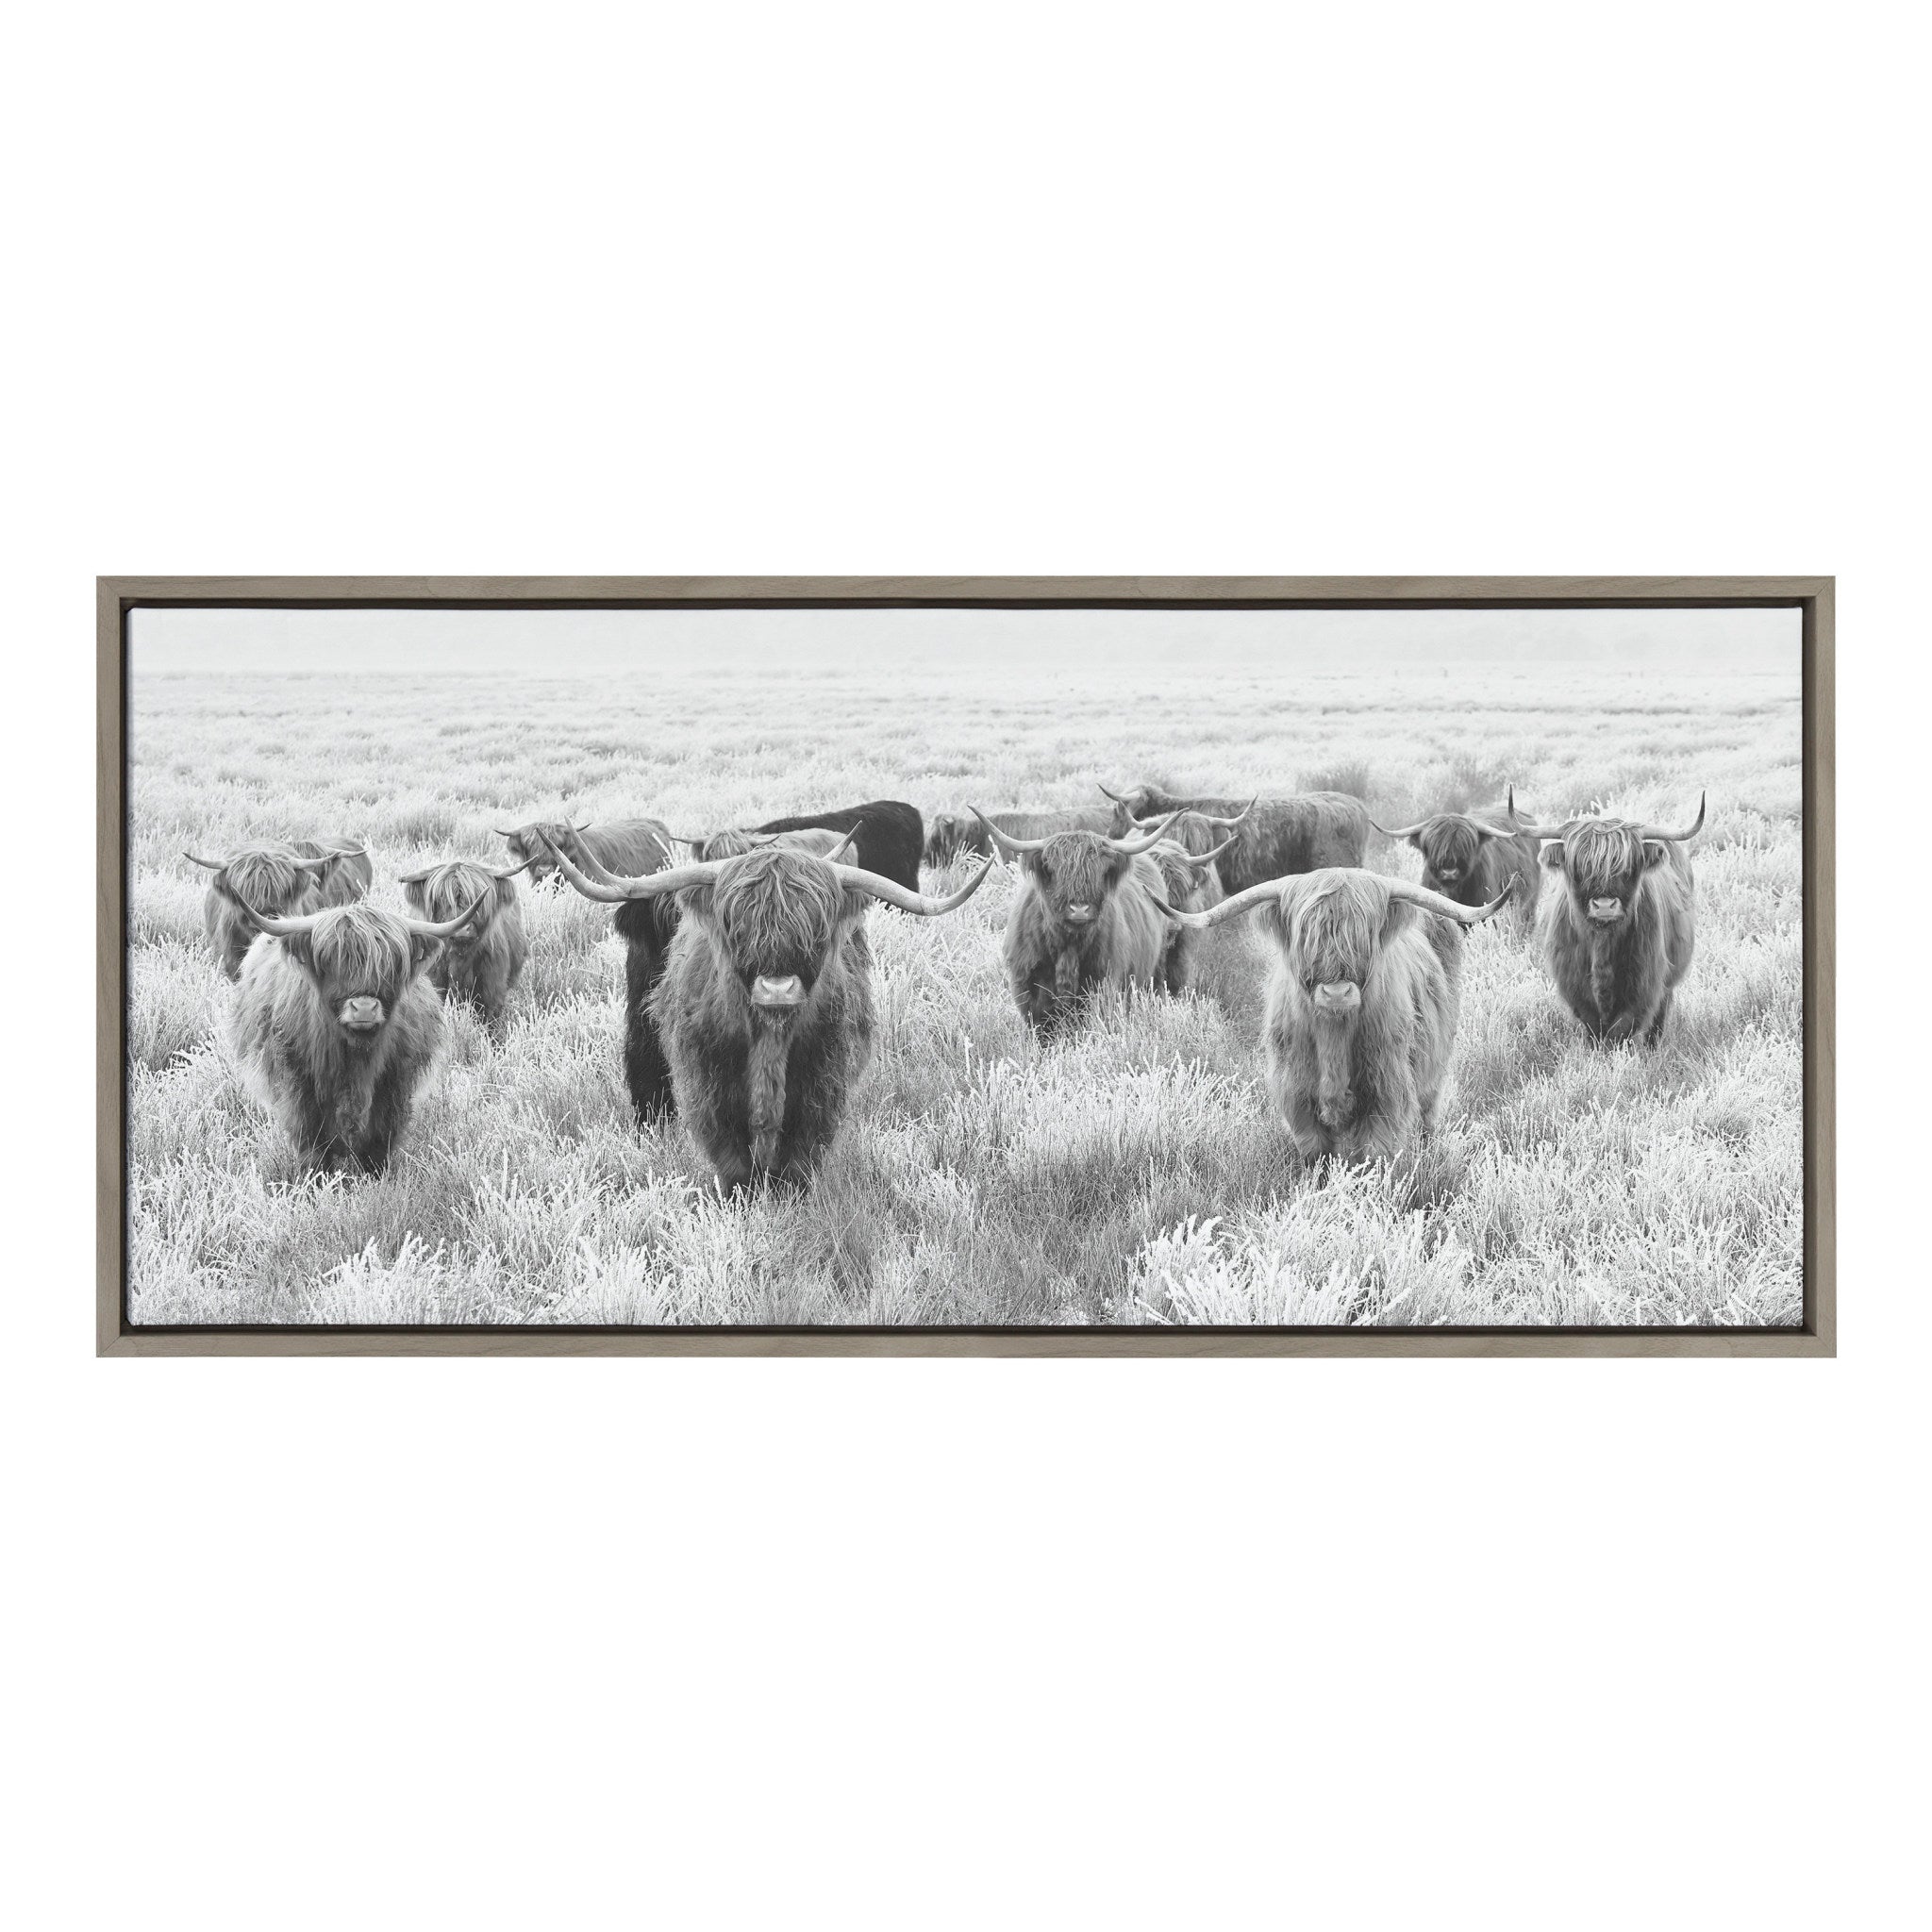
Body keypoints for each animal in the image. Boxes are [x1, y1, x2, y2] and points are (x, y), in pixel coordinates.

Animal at [223, 892, 492, 1174]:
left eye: (392, 964)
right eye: (330, 960)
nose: (364, 1007)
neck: (356, 1057)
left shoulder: (395, 1082)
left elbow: (381, 1139)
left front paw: (376, 1176)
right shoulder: (299, 1083)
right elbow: (311, 1140)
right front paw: (315, 1178)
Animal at [550, 841, 992, 1190]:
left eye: (816, 927)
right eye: (735, 923)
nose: (777, 989)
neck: (769, 1040)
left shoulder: (822, 1087)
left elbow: (799, 1160)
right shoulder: (708, 1087)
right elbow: (733, 1162)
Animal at [970, 807, 1185, 1036]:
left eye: (1100, 870)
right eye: (1053, 870)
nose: (1079, 909)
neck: (1068, 946)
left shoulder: (1102, 984)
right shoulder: (1030, 989)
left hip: (1156, 968)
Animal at [1156, 867, 1514, 1161]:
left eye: (1364, 935)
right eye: (1306, 934)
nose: (1337, 993)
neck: (1334, 1037)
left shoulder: (1387, 1094)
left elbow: (1374, 1158)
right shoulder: (1298, 1097)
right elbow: (1317, 1157)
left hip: (1434, 1072)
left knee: (1427, 1115)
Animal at [1521, 795, 1705, 1044]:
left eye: (1628, 867)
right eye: (1578, 867)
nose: (1604, 906)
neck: (1602, 941)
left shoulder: (1644, 985)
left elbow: (1620, 1031)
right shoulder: (1575, 989)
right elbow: (1595, 1030)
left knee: (1658, 1019)